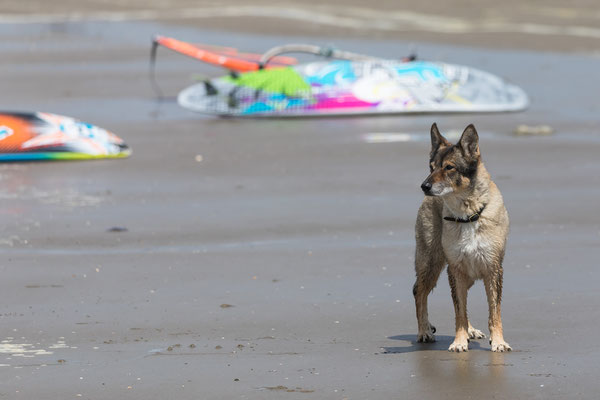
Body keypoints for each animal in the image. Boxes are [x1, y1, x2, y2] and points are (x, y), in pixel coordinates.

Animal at [412, 123, 510, 352]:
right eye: (431, 167)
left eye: (449, 167)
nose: (424, 186)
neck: (468, 216)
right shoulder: (455, 269)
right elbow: (459, 312)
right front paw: (459, 341)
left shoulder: (492, 269)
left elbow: (494, 311)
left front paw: (498, 342)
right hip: (431, 263)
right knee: (419, 291)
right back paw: (424, 330)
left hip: (466, 272)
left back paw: (471, 330)